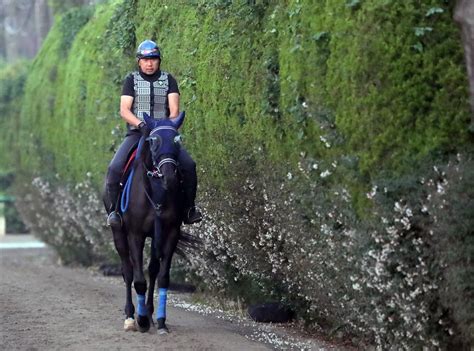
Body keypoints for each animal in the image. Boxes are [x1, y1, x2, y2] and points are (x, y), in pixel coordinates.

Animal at [104, 111, 191, 334]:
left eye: (178, 140)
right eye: (153, 141)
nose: (169, 176)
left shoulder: (170, 232)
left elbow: (162, 276)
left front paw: (160, 321)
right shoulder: (135, 234)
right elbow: (139, 279)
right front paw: (141, 320)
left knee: (152, 268)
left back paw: (151, 315)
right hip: (119, 233)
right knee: (127, 271)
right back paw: (130, 317)